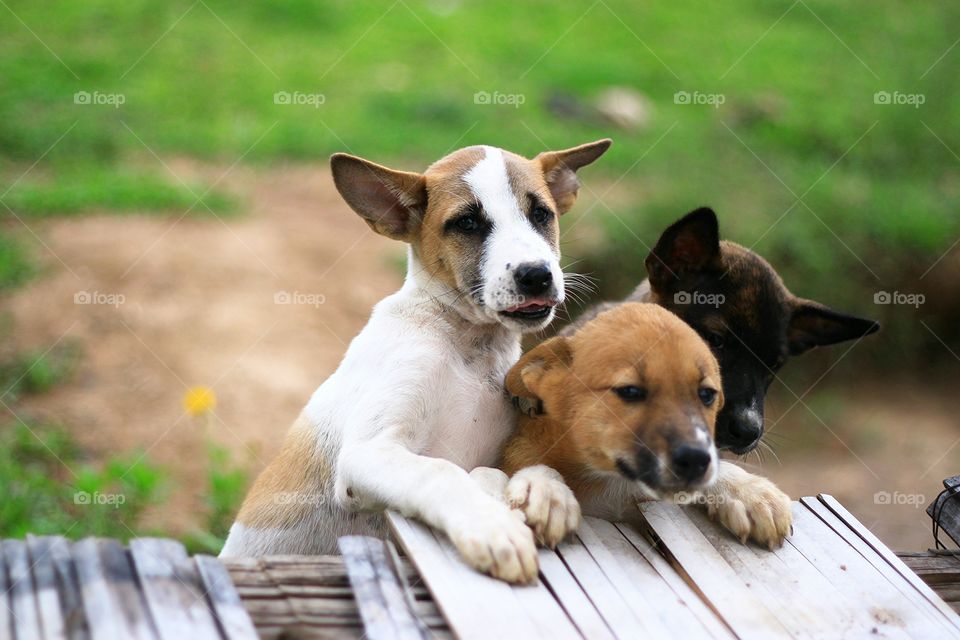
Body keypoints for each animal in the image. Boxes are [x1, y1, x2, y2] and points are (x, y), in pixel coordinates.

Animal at [221, 138, 612, 584]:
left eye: (541, 214)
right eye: (467, 223)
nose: (536, 275)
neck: (467, 346)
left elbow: (515, 466)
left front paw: (546, 492)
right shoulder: (368, 452)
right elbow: (442, 472)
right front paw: (492, 526)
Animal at [498, 304, 792, 552]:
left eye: (707, 395)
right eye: (630, 391)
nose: (695, 460)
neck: (612, 486)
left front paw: (749, 491)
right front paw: (548, 491)